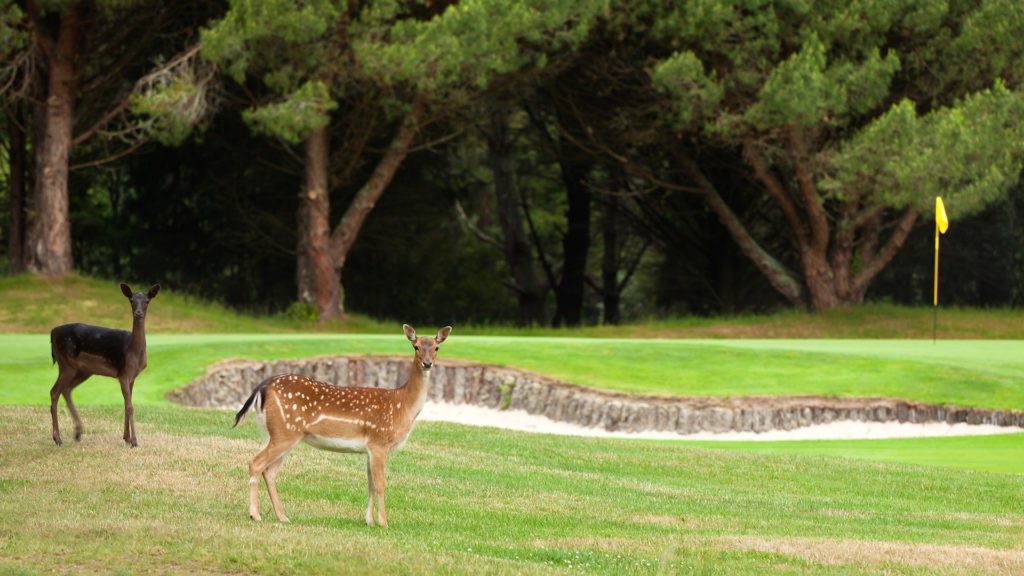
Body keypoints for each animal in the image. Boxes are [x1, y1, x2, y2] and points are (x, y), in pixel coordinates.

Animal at [49, 280, 159, 446]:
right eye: (131, 300)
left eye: (147, 301)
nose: (138, 313)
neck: (133, 352)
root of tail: (53, 332)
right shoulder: (123, 373)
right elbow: (130, 407)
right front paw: (134, 441)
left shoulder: (132, 376)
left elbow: (127, 404)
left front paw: (126, 438)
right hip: (66, 363)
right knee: (54, 391)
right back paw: (58, 438)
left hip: (82, 370)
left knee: (66, 390)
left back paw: (78, 433)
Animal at [237, 323, 454, 524]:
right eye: (416, 346)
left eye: (436, 347)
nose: (427, 364)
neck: (403, 405)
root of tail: (263, 387)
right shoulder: (379, 442)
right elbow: (380, 483)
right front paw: (383, 522)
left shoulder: (369, 448)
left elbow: (370, 484)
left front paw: (368, 521)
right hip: (285, 432)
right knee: (256, 463)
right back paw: (255, 515)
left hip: (279, 434)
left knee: (270, 471)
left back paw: (283, 517)